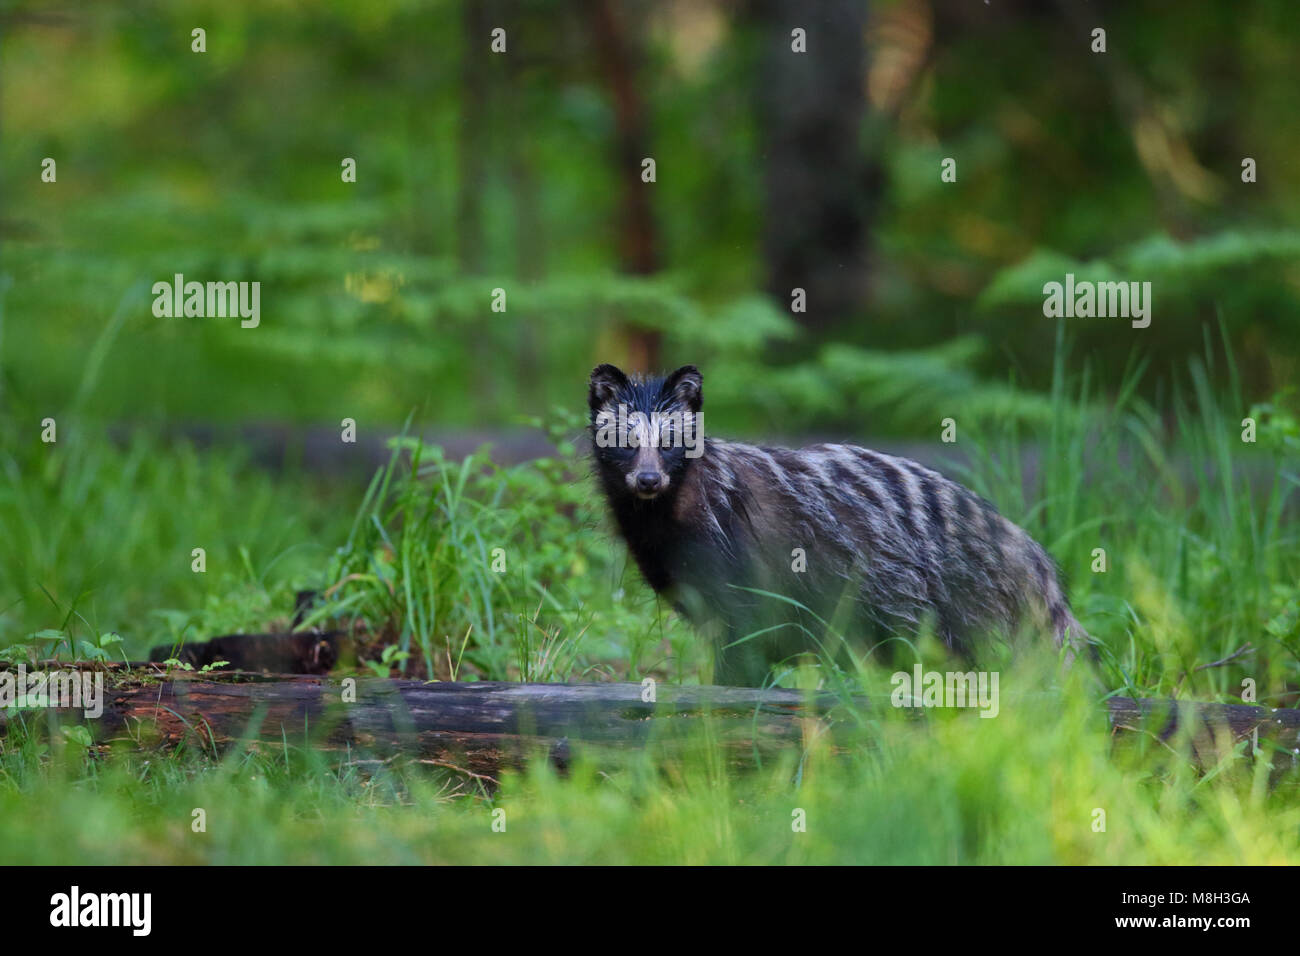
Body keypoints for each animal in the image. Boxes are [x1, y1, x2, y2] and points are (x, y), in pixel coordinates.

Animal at [588, 363, 1092, 686]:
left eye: (670, 442)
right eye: (626, 442)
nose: (648, 479)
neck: (664, 514)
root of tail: (1015, 540)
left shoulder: (737, 549)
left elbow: (747, 630)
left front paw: (733, 689)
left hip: (931, 587)